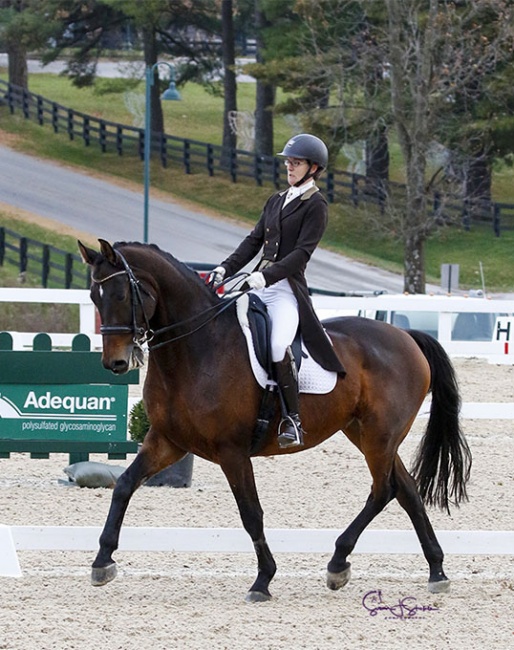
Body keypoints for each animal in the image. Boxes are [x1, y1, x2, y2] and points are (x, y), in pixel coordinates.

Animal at [78, 239, 470, 604]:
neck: (197, 348)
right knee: (406, 491)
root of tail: (407, 337)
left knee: (384, 490)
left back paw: (338, 563)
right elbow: (124, 485)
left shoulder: (232, 452)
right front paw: (102, 562)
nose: (114, 363)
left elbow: (251, 513)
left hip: (379, 435)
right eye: (94, 296)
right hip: (366, 433)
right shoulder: (167, 441)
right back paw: (435, 570)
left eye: (121, 293)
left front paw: (263, 580)